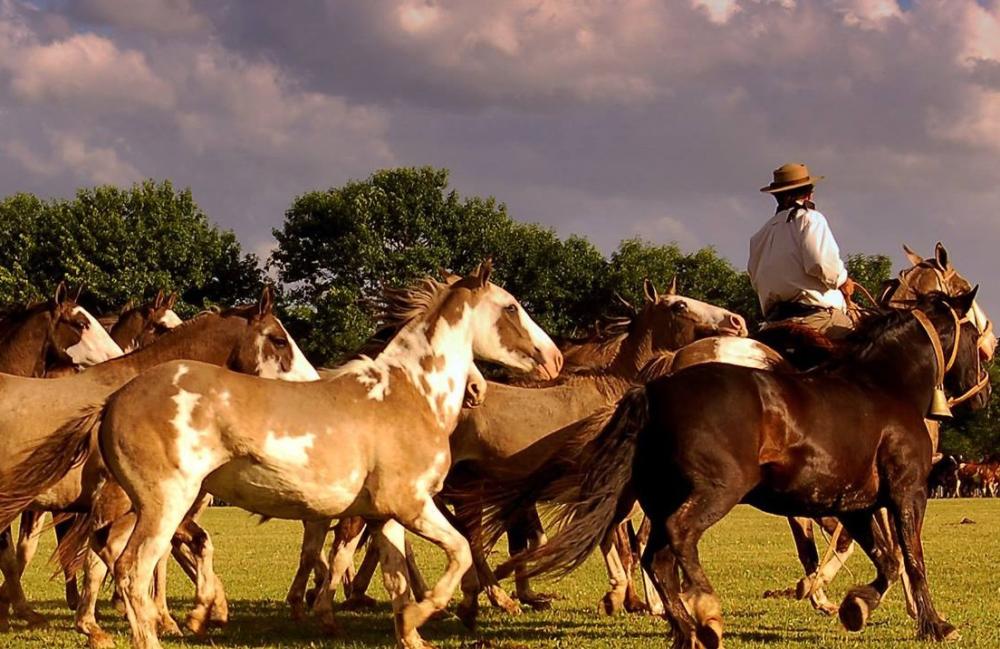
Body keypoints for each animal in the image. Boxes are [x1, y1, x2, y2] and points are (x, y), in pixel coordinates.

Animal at [292, 276, 748, 620]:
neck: (613, 391)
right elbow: (616, 540)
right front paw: (623, 597)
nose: (737, 321)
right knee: (368, 533)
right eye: (679, 306)